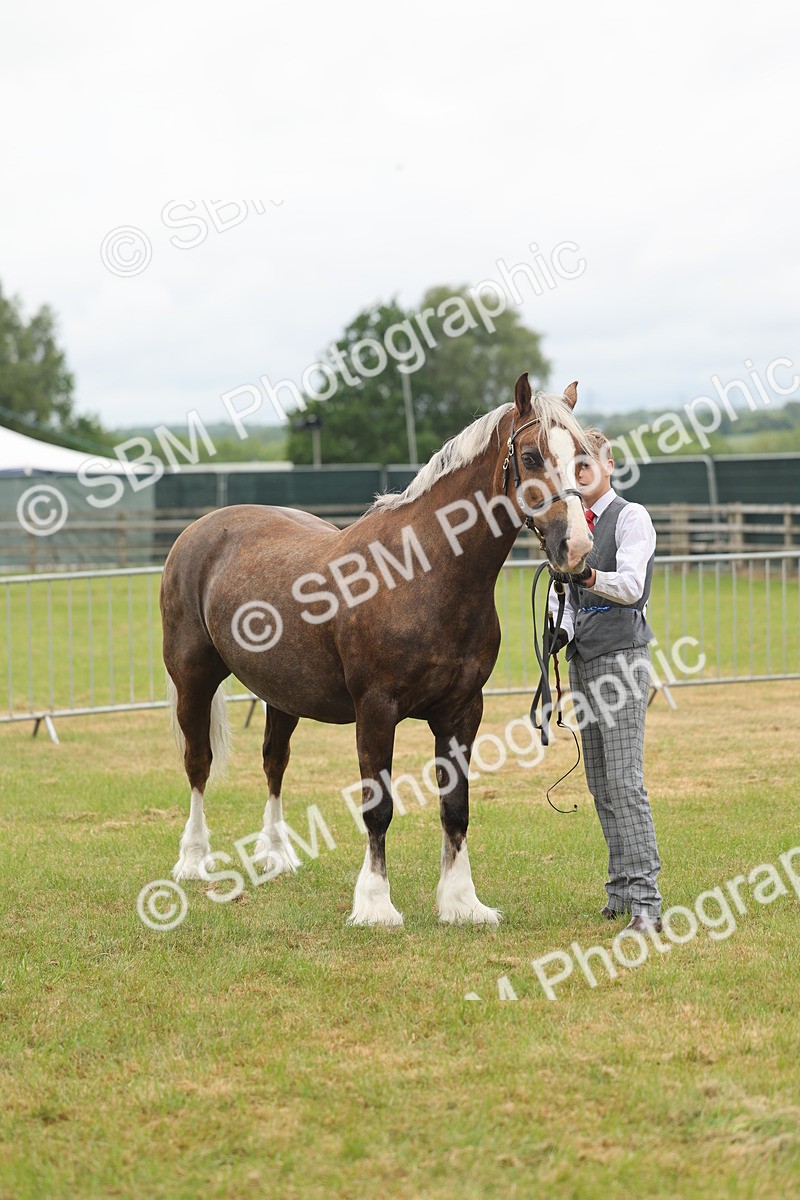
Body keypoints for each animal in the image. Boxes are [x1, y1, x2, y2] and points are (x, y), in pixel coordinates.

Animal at [160, 373, 593, 926]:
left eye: (581, 455)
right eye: (534, 456)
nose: (576, 547)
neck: (420, 572)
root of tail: (200, 529)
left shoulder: (462, 710)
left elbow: (456, 806)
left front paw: (462, 902)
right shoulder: (376, 710)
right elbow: (378, 807)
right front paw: (375, 905)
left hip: (281, 695)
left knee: (274, 762)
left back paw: (276, 855)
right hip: (193, 679)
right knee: (198, 763)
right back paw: (193, 862)